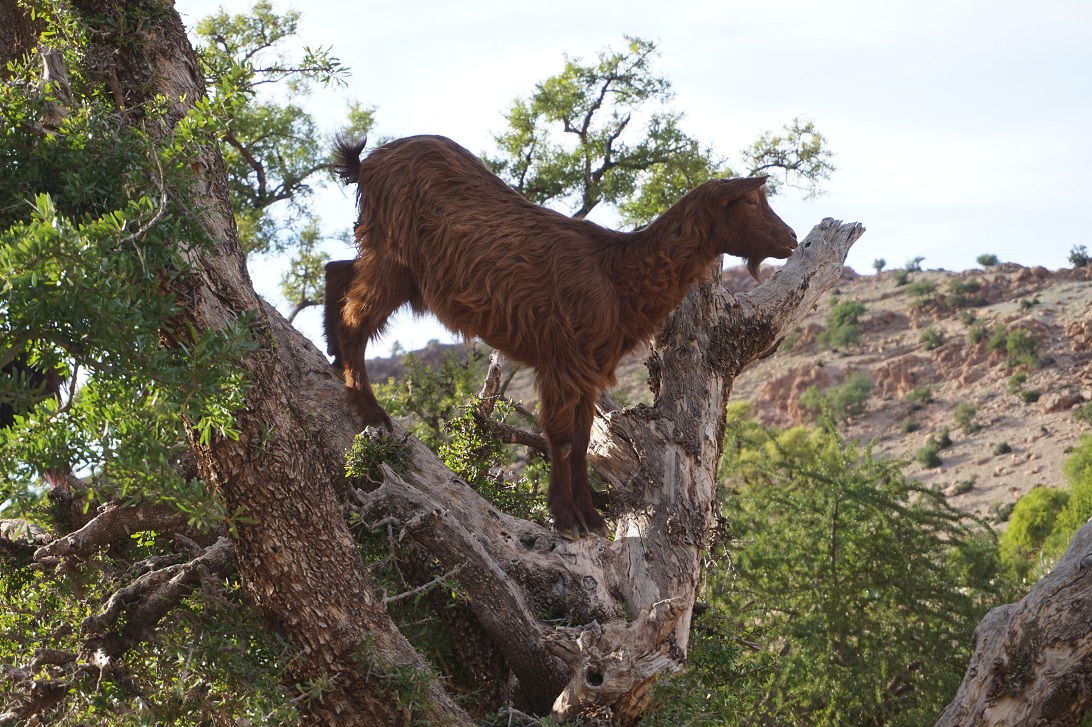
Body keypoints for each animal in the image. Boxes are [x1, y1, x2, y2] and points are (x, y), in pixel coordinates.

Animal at [327, 134, 797, 539]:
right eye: (750, 200)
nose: (791, 237)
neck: (617, 272)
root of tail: (368, 163)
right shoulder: (561, 357)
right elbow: (561, 436)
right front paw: (566, 518)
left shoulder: (589, 367)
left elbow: (584, 438)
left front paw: (590, 516)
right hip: (394, 255)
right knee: (355, 318)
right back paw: (370, 410)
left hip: (392, 262)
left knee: (337, 271)